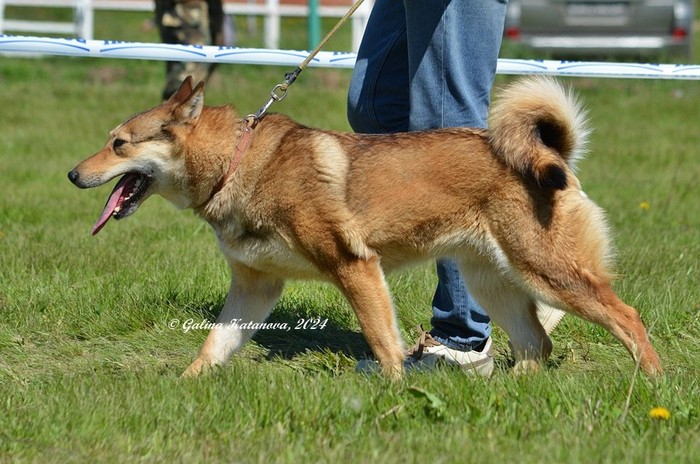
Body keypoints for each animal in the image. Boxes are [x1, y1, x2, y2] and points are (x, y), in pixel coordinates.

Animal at [68, 76, 662, 378]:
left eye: (119, 144)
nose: (73, 174)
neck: (236, 164)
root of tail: (552, 155)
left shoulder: (355, 267)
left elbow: (384, 344)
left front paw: (395, 395)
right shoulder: (255, 287)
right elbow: (214, 345)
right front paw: (187, 387)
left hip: (549, 274)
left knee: (627, 317)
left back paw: (651, 382)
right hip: (494, 282)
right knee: (537, 343)